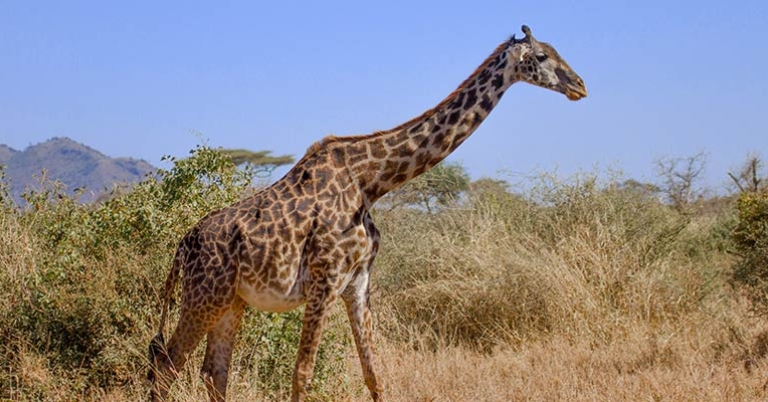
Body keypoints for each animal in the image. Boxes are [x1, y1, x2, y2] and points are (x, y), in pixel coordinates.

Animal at [148, 25, 587, 402]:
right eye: (543, 56)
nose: (580, 86)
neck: (371, 181)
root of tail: (182, 247)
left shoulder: (358, 282)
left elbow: (374, 374)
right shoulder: (325, 280)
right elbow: (302, 374)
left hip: (231, 301)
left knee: (212, 371)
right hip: (205, 295)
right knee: (167, 364)